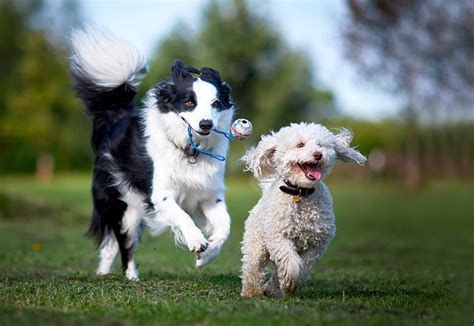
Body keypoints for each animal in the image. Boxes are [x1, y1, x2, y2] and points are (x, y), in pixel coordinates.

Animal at [70, 26, 233, 280]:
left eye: (216, 103)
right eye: (189, 103)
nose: (206, 124)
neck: (190, 151)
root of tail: (118, 115)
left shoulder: (209, 194)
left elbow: (226, 225)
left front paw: (206, 256)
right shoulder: (160, 193)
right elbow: (182, 215)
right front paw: (196, 240)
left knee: (111, 246)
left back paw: (103, 274)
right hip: (126, 206)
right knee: (124, 245)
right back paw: (131, 277)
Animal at [241, 122, 366, 298]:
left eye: (320, 145)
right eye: (300, 145)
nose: (318, 154)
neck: (300, 192)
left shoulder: (317, 242)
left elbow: (304, 264)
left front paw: (290, 284)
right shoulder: (278, 237)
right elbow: (291, 263)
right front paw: (291, 283)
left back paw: (273, 289)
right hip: (256, 243)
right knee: (253, 266)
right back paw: (252, 291)